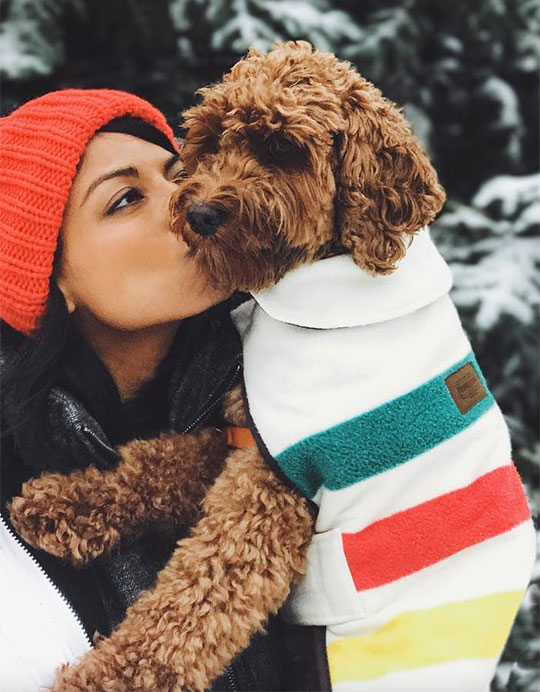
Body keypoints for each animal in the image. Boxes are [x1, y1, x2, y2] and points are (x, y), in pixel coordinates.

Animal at [9, 40, 442, 688]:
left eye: (282, 149)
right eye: (212, 140)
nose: (201, 213)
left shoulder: (273, 492)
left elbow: (192, 600)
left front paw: (107, 675)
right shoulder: (246, 435)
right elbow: (156, 461)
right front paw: (64, 501)